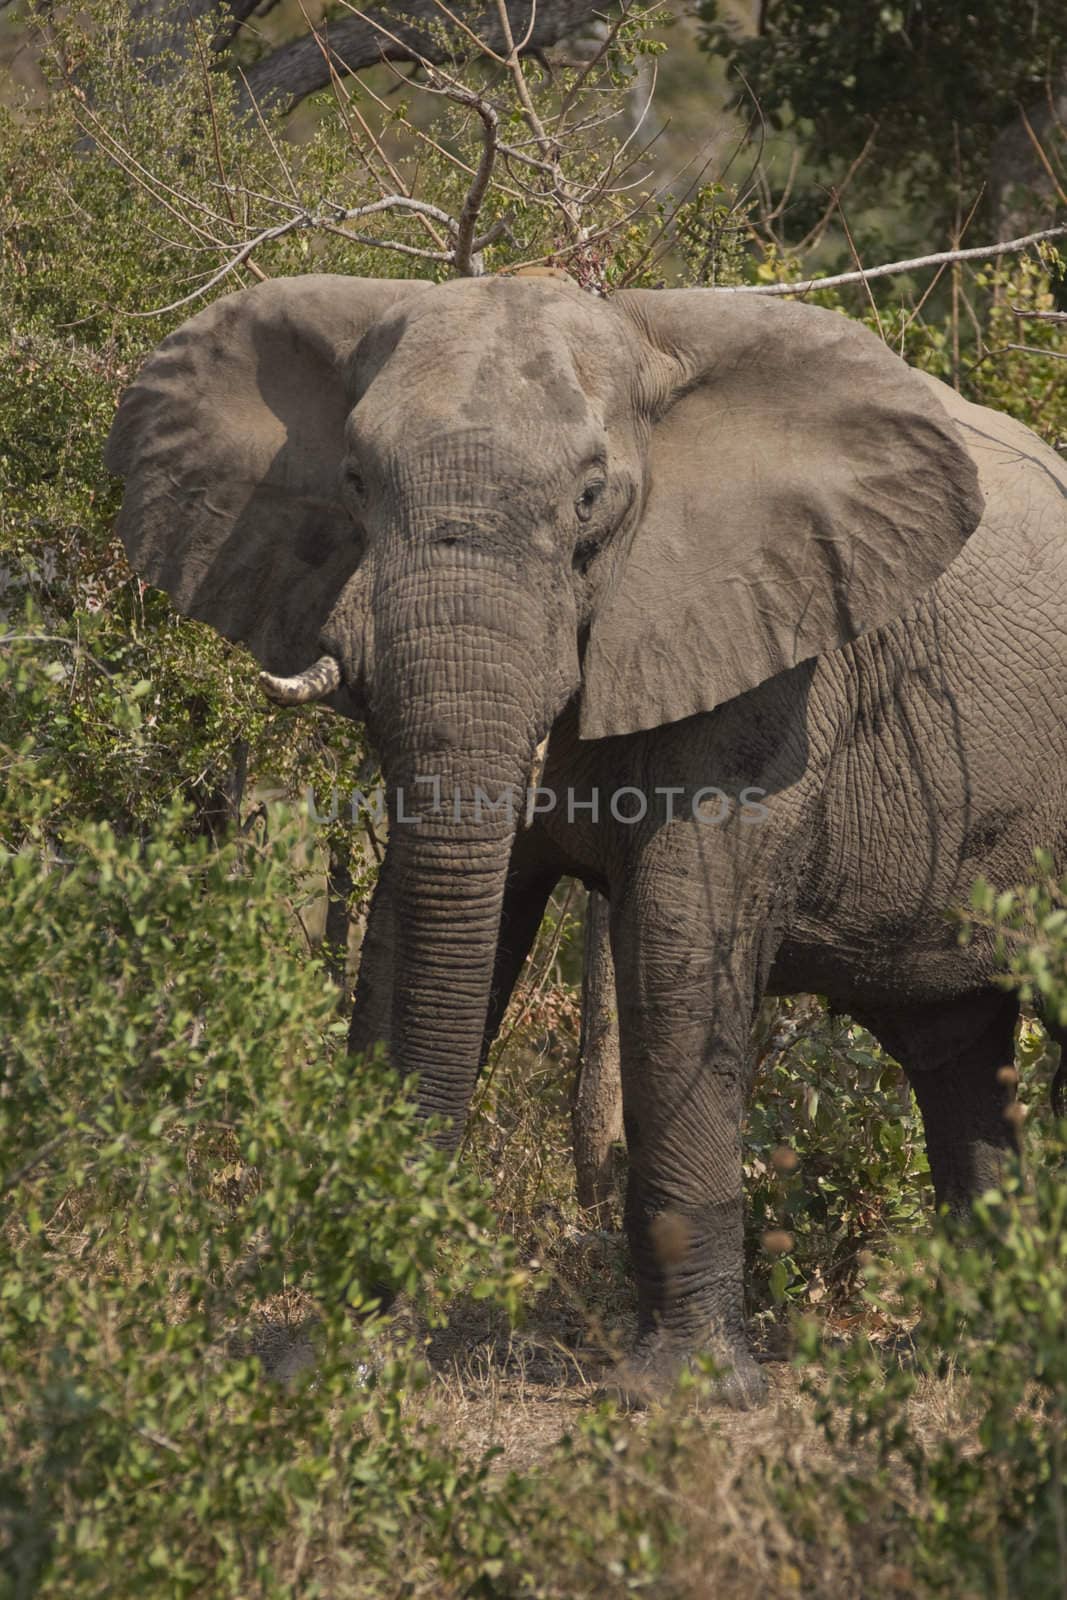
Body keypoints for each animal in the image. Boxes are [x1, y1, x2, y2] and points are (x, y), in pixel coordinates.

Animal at [106, 268, 1067, 1408]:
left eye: (589, 498)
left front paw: (682, 1395)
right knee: (958, 1052)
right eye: (352, 478)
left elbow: (674, 946)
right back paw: (981, 1354)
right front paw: (327, 1363)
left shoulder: (765, 652)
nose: (371, 1337)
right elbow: (416, 936)